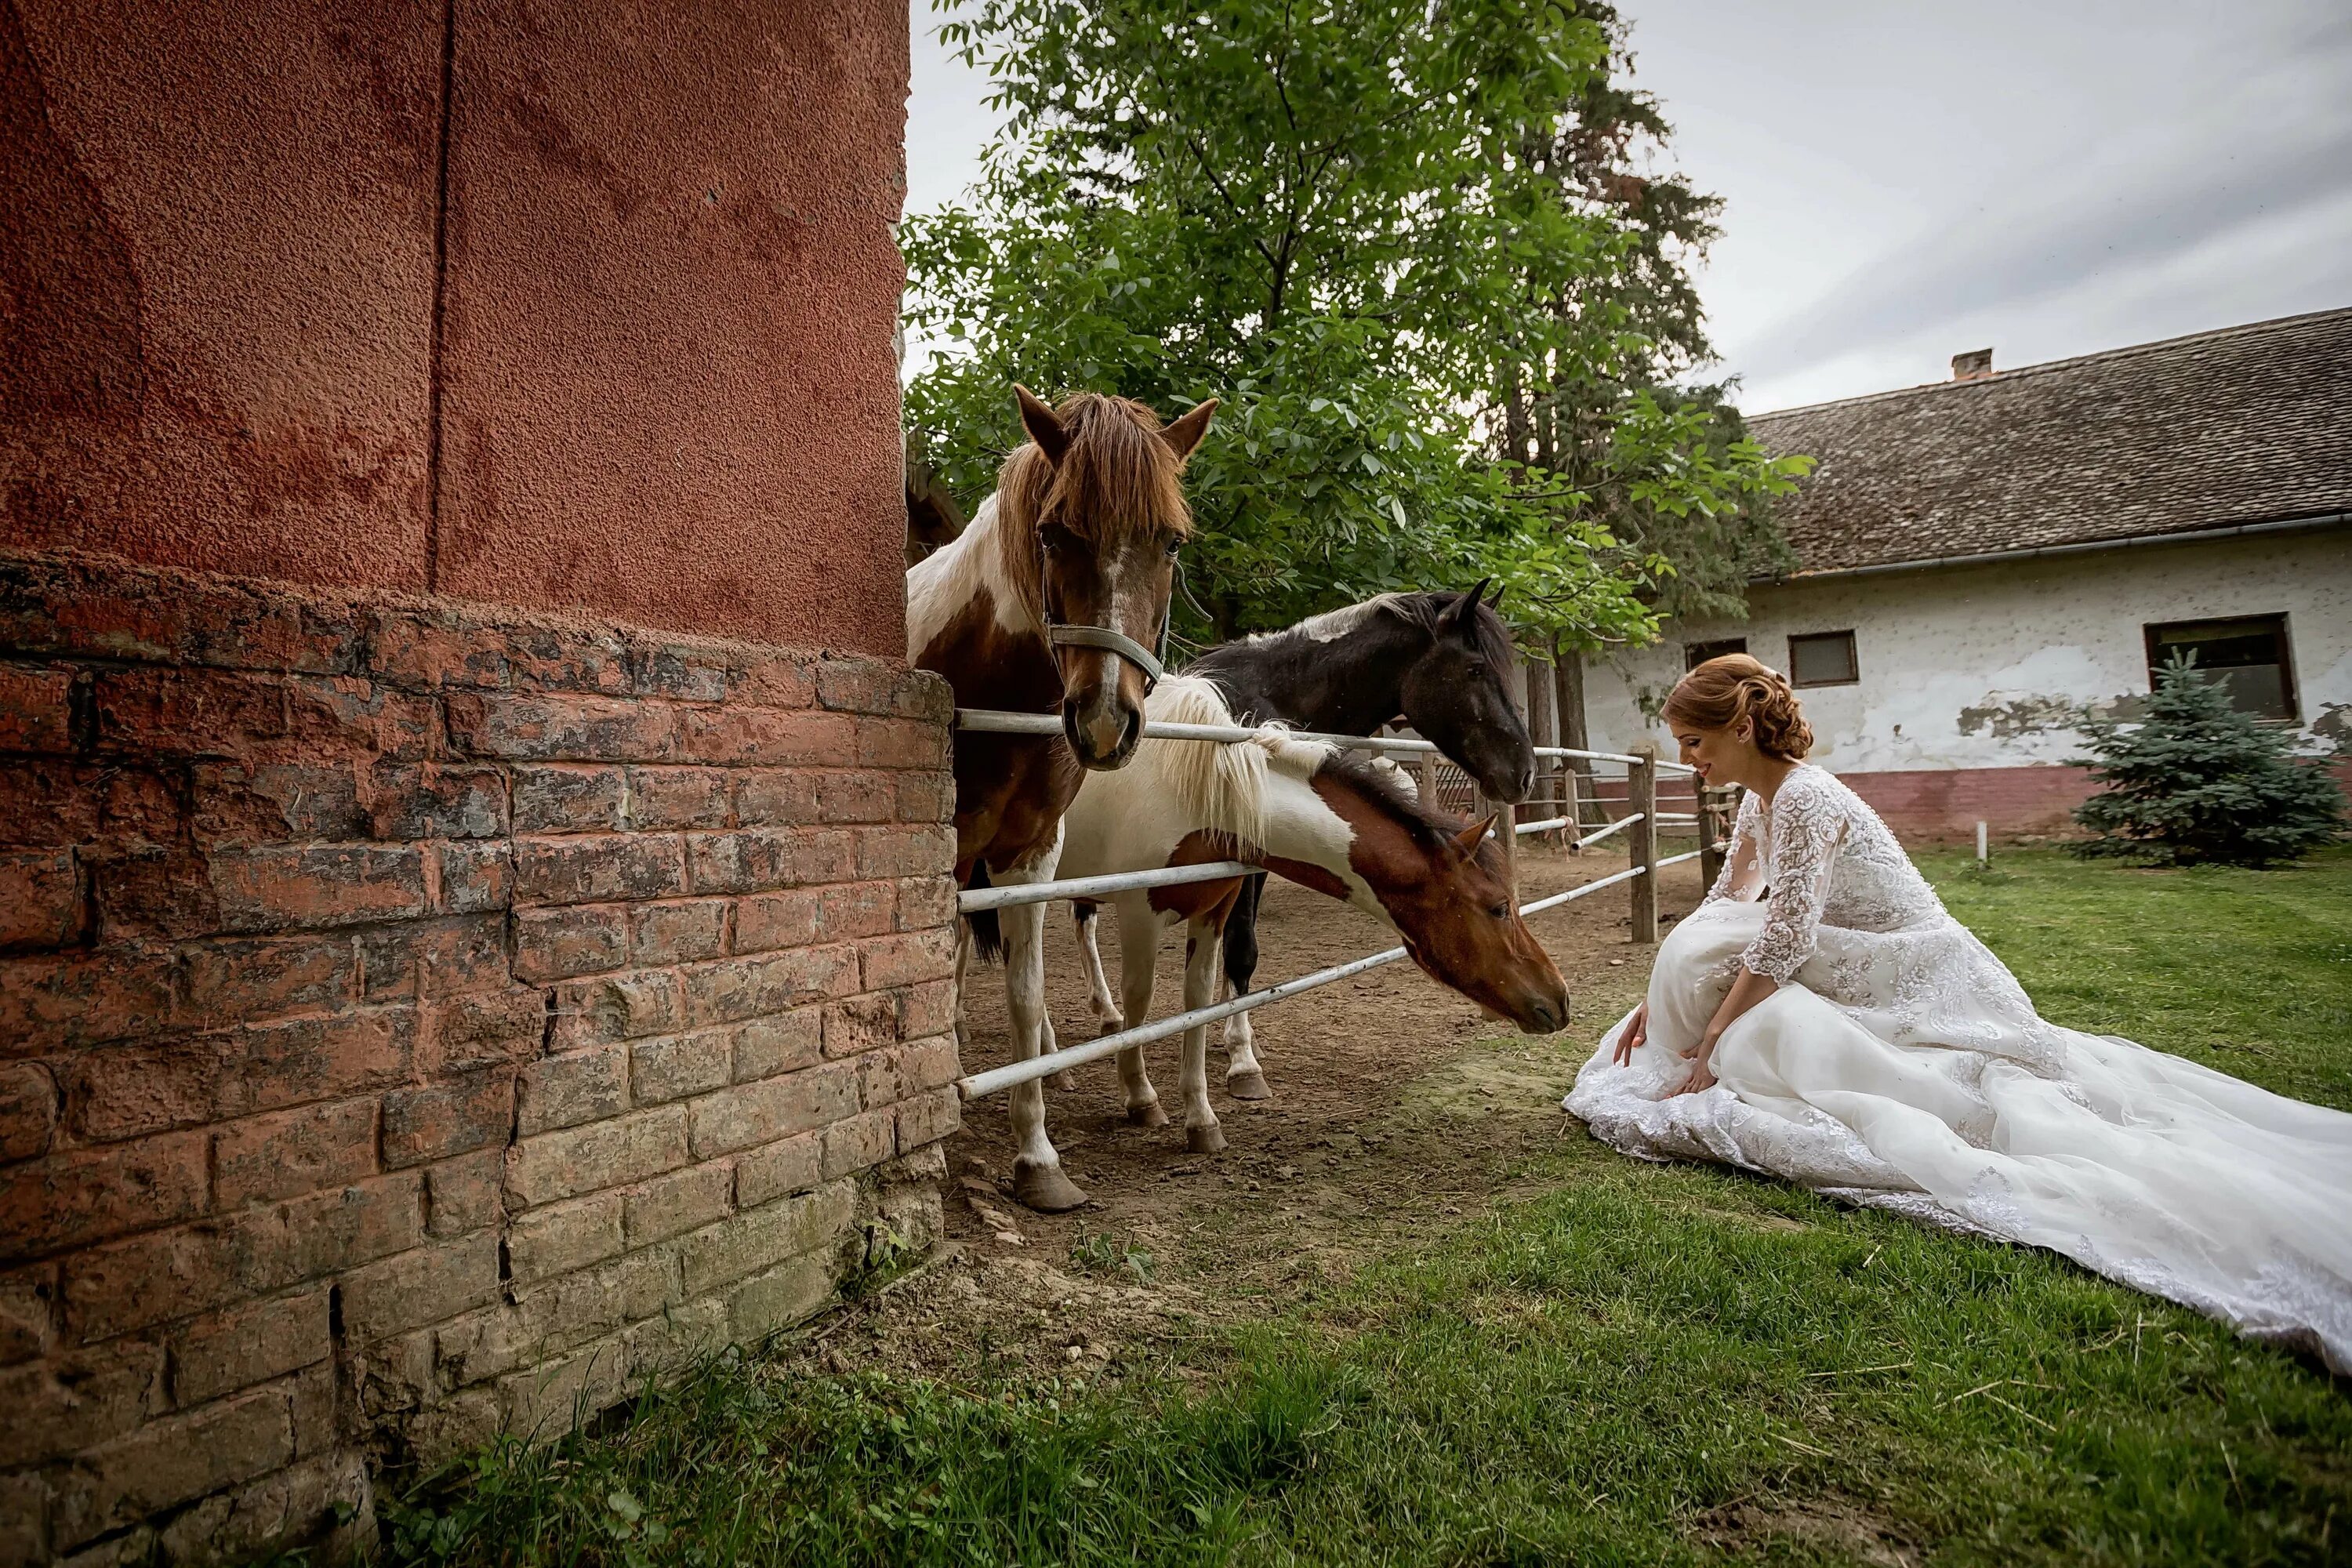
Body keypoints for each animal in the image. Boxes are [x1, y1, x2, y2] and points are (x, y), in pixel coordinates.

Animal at [908, 383, 1223, 1213]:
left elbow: (1024, 993)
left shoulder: (1030, 854)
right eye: (1053, 534)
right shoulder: (950, 859)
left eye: (1170, 543)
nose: (1107, 719)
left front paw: (1038, 1155)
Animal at [993, 681, 1562, 1213]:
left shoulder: (1214, 909)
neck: (1196, 789)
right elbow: (1141, 1003)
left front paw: (1201, 1119)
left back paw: (1052, 1062)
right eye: (1498, 906)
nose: (1558, 1001)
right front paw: (1140, 1097)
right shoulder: (1140, 911)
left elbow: (1198, 1003)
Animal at [1073, 583, 1543, 1100]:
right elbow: (1241, 949)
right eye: (1475, 669)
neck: (1272, 695)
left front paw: (1233, 1037)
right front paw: (1243, 1061)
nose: (1525, 773)